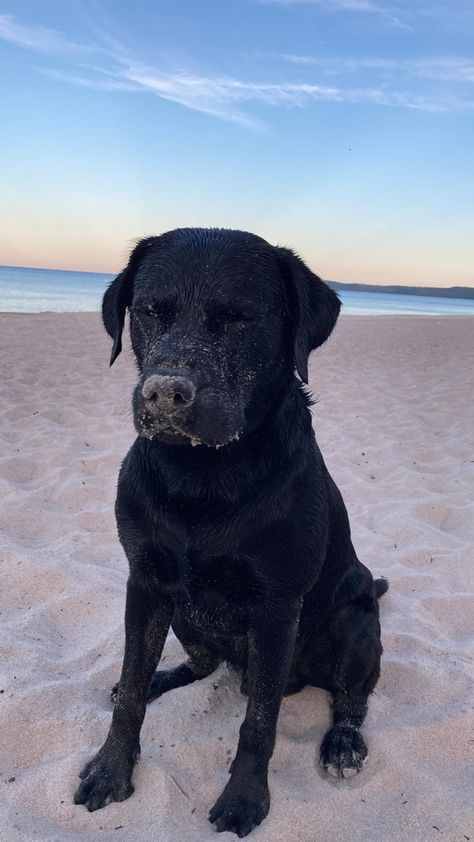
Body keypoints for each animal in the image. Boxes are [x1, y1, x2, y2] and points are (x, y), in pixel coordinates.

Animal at [73, 228, 386, 832]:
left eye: (239, 318)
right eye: (150, 311)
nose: (164, 393)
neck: (203, 478)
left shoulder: (277, 608)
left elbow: (260, 720)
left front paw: (245, 797)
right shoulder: (145, 584)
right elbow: (131, 695)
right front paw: (111, 769)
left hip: (354, 620)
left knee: (352, 694)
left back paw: (342, 743)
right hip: (183, 615)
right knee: (198, 662)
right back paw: (157, 678)